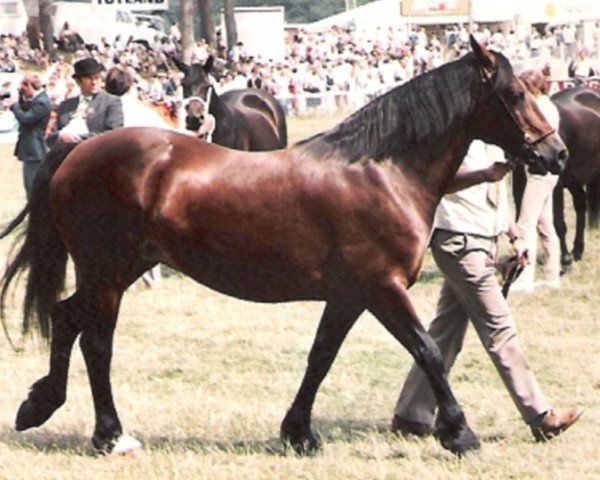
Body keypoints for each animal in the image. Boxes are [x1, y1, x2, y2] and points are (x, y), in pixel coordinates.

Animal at [0, 38, 564, 458]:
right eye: (514, 94)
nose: (555, 153)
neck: (382, 173)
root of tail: (78, 150)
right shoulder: (382, 288)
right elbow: (426, 350)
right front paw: (459, 432)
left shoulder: (349, 295)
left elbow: (321, 356)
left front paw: (298, 432)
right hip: (107, 273)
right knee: (96, 341)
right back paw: (110, 435)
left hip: (120, 268)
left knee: (66, 319)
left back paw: (42, 407)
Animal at [512, 86, 600, 266]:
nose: (559, 154)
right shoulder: (519, 184)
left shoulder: (556, 187)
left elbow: (558, 223)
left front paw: (564, 259)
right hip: (573, 181)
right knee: (581, 204)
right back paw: (577, 251)